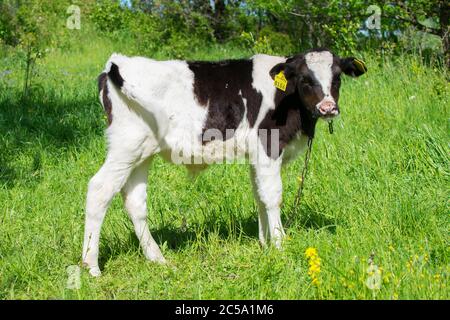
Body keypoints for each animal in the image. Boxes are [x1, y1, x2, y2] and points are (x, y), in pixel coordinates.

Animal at [83, 48, 366, 276]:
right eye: (306, 79)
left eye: (337, 78)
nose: (328, 107)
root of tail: (116, 63)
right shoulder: (268, 146)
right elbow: (273, 196)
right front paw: (280, 244)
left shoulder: (255, 155)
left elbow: (259, 195)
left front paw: (265, 243)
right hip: (125, 146)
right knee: (99, 190)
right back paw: (91, 266)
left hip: (141, 153)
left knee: (134, 201)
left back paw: (157, 258)